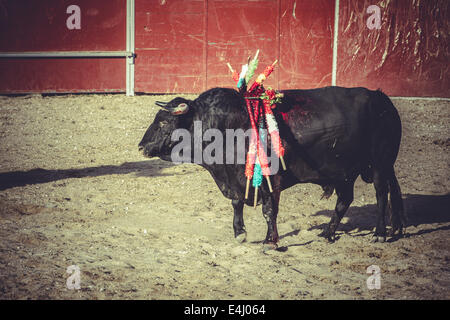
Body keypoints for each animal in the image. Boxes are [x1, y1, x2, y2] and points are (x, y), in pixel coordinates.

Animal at [139, 86, 406, 246]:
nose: (141, 146)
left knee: (382, 193)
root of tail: (381, 97)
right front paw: (240, 233)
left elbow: (269, 211)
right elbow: (237, 203)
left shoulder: (271, 180)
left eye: (163, 122)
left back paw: (380, 233)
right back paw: (329, 233)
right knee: (345, 200)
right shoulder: (237, 178)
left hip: (380, 164)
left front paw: (270, 240)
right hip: (344, 173)